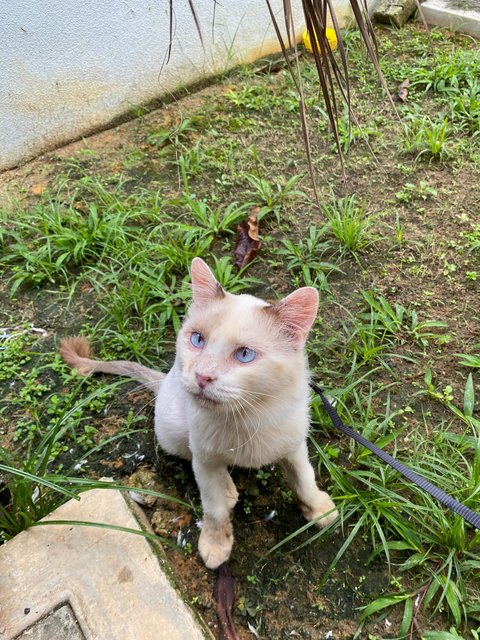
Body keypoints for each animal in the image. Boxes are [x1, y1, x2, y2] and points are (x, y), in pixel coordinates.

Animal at [60, 258, 338, 568]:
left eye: (244, 355)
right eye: (197, 340)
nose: (202, 376)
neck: (248, 416)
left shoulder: (294, 446)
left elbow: (304, 479)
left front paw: (319, 509)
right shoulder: (204, 457)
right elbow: (214, 509)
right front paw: (215, 545)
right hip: (172, 432)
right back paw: (227, 489)